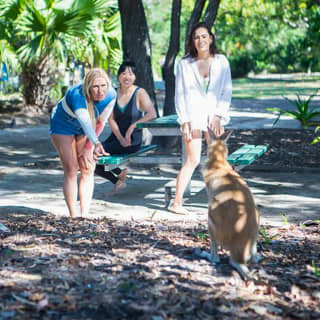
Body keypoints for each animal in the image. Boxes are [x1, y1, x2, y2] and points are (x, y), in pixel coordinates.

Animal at [205, 129, 260, 278]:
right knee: (252, 257)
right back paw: (256, 257)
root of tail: (238, 257)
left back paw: (209, 256)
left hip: (211, 214)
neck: (219, 163)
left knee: (217, 255)